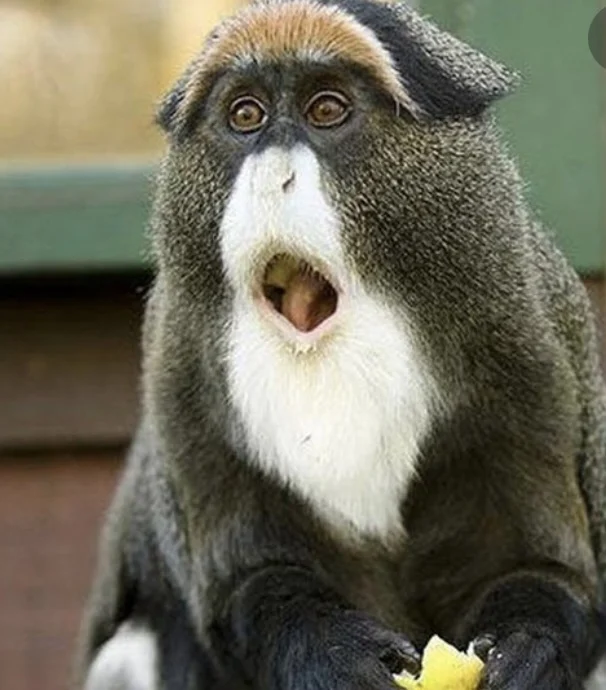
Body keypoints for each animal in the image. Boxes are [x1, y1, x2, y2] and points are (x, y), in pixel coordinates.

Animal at [74, 1, 606, 689]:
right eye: (245, 116)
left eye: (326, 109)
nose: (273, 177)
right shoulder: (176, 365)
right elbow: (246, 581)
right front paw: (333, 652)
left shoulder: (531, 348)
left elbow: (545, 567)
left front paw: (525, 648)